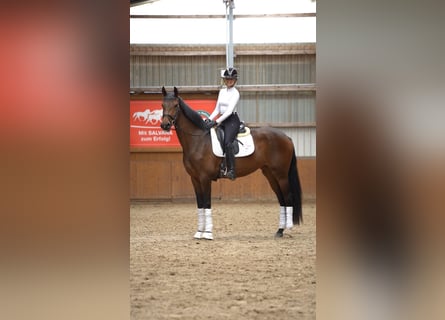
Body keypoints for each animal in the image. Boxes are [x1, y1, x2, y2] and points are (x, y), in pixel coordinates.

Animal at [160, 86, 302, 239]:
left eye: (176, 105)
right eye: (162, 105)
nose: (165, 125)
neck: (198, 140)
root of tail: (286, 137)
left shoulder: (205, 178)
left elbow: (207, 203)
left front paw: (208, 233)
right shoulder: (195, 179)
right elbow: (200, 204)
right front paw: (199, 232)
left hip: (281, 175)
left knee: (287, 197)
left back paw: (288, 227)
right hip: (270, 174)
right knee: (281, 198)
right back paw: (280, 230)